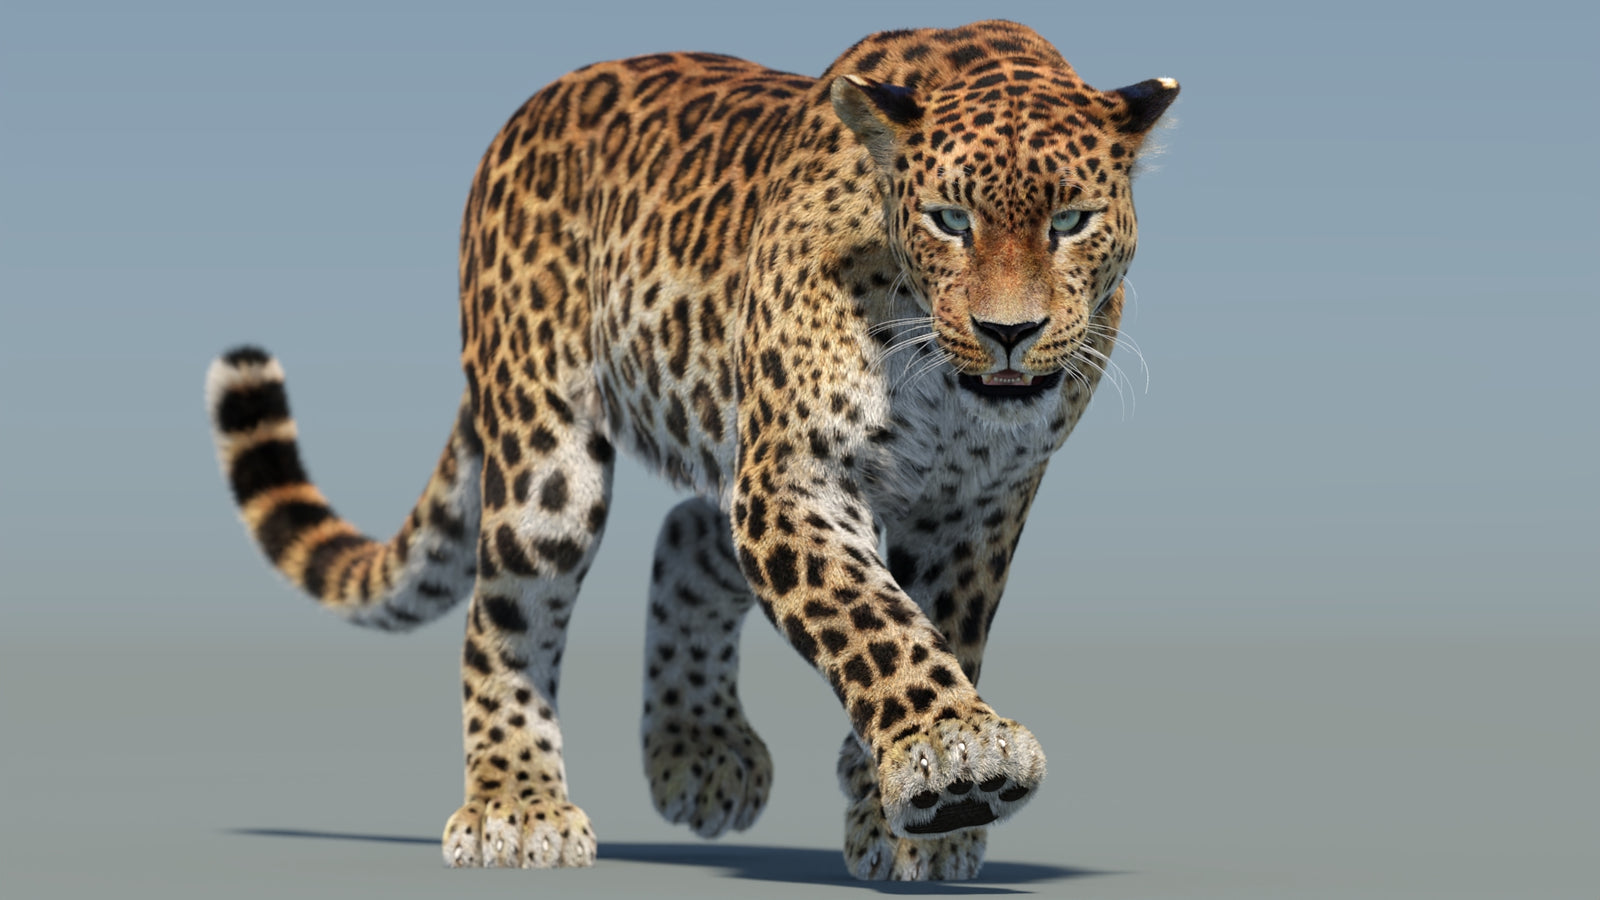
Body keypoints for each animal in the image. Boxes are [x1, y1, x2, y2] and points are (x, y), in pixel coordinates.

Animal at [205, 19, 1177, 881]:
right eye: (948, 219)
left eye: (1072, 221)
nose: (1008, 333)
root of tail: (524, 115)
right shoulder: (793, 479)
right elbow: (872, 619)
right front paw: (957, 754)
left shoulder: (977, 506)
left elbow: (944, 627)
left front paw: (909, 815)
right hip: (548, 459)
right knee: (503, 616)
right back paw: (517, 806)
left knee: (686, 534)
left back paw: (700, 752)